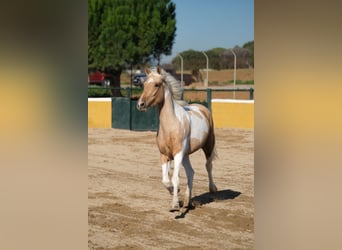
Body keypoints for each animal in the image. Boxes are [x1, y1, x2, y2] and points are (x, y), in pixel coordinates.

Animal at [136, 65, 216, 212]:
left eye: (156, 84)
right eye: (144, 84)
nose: (140, 105)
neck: (171, 125)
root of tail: (202, 108)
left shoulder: (178, 154)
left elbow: (175, 178)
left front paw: (174, 205)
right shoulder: (164, 155)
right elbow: (166, 180)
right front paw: (175, 192)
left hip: (208, 146)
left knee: (208, 165)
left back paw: (212, 188)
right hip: (186, 155)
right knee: (191, 172)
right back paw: (187, 201)